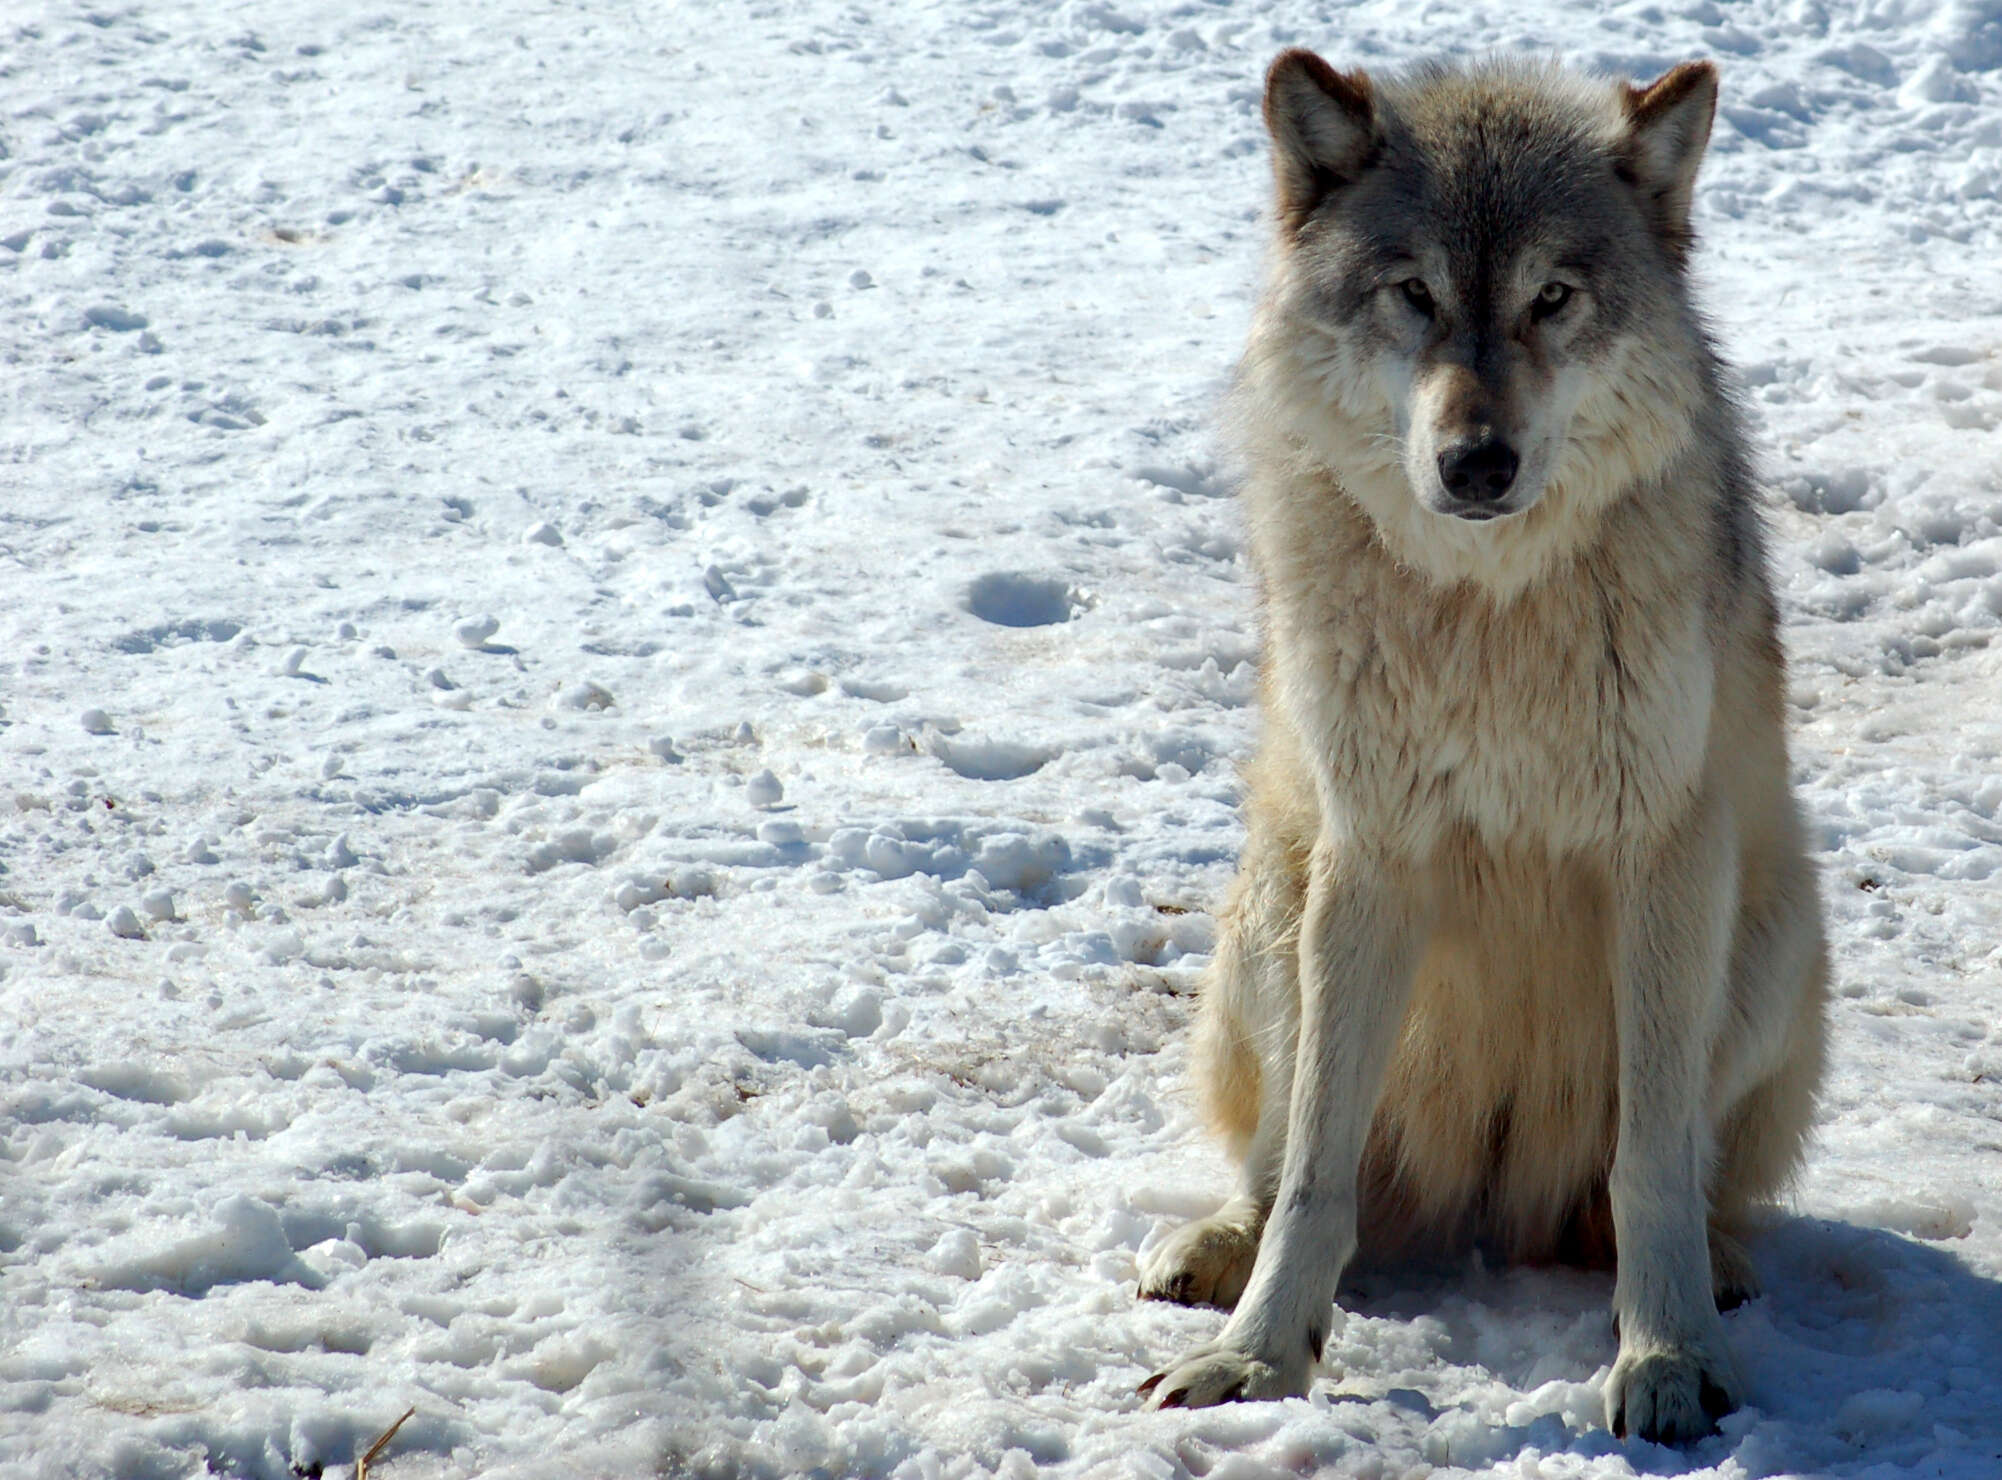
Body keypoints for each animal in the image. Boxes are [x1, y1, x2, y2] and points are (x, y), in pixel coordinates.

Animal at [1137, 49, 1825, 1449]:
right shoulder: (1371, 854)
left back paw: (1718, 1271)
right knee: (1281, 1157)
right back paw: (1216, 1248)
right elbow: (1315, 1171)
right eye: (1414, 295)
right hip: (1274, 910)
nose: (1476, 460)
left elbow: (1649, 1164)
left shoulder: (1661, 856)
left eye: (1551, 299)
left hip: (1769, 930)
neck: (1488, 608)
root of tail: (1489, 1195)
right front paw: (1261, 1356)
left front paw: (1668, 1358)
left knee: (1674, 1181)